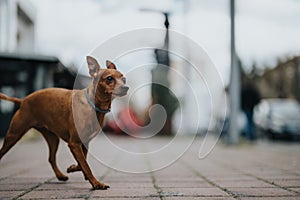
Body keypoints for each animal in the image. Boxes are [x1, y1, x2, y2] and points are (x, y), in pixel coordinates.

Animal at [0, 55, 127, 190]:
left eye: (123, 79)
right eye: (109, 78)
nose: (126, 87)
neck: (93, 106)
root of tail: (23, 100)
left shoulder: (84, 143)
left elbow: (83, 162)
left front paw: (73, 169)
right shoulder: (74, 143)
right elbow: (86, 165)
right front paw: (96, 183)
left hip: (53, 139)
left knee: (51, 158)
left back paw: (60, 175)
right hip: (13, 135)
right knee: (1, 152)